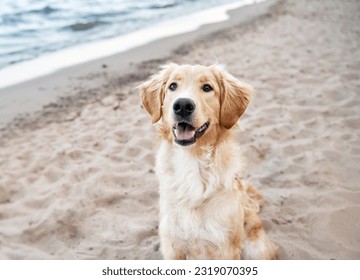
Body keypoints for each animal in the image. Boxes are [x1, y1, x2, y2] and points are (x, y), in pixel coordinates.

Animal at [139, 64, 278, 260]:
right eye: (172, 86)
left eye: (207, 87)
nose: (182, 106)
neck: (192, 160)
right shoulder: (172, 245)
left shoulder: (225, 246)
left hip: (257, 249)